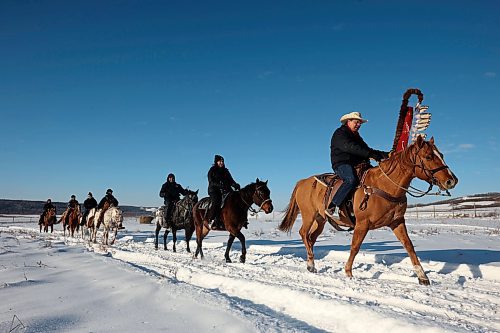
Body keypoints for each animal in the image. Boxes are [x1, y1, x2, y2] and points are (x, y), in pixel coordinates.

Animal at [280, 136, 458, 284]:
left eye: (441, 154)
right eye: (428, 157)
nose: (452, 180)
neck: (385, 186)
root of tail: (302, 182)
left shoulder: (397, 222)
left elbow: (409, 246)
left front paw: (423, 277)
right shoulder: (362, 224)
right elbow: (355, 247)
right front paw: (348, 272)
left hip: (321, 219)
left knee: (311, 238)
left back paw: (311, 264)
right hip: (309, 215)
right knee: (304, 234)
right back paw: (311, 263)